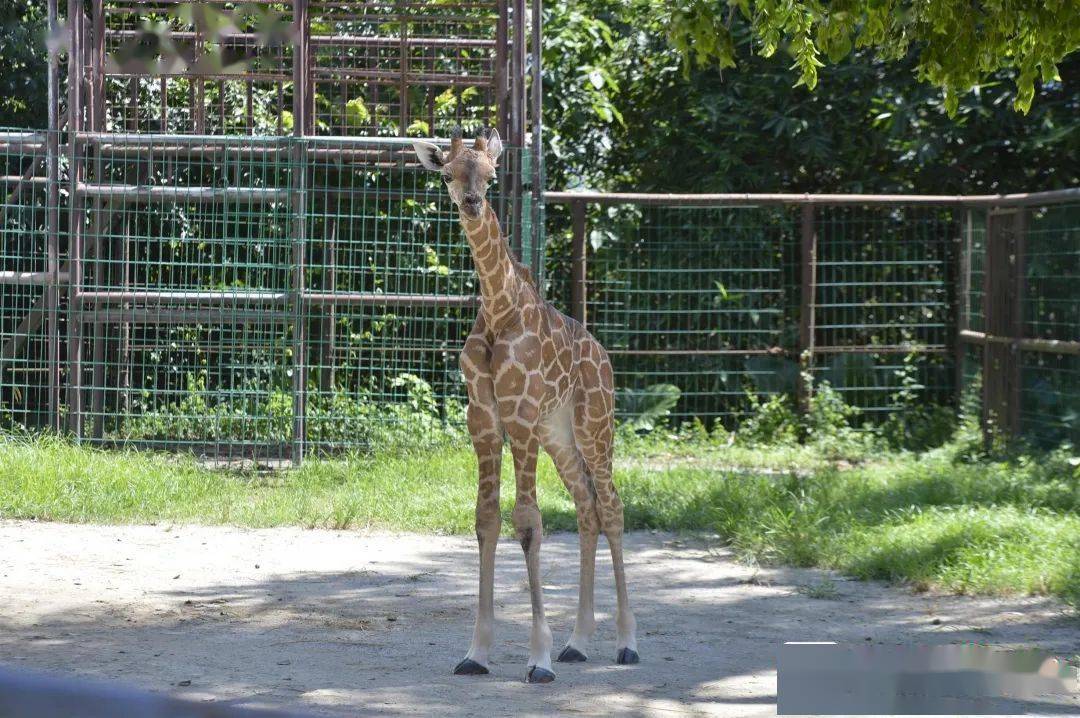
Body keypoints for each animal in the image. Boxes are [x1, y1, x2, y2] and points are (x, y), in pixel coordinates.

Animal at [410, 125, 630, 682]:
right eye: (447, 174)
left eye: (491, 175)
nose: (471, 203)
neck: (498, 308)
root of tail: (604, 356)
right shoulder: (484, 419)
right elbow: (486, 520)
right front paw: (477, 652)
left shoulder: (521, 414)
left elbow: (528, 524)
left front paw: (539, 659)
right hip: (561, 436)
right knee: (588, 509)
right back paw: (579, 643)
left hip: (595, 425)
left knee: (612, 508)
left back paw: (626, 643)